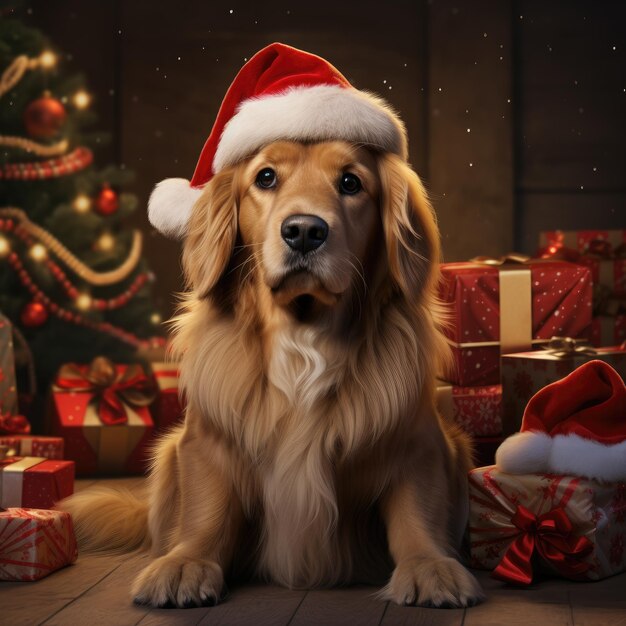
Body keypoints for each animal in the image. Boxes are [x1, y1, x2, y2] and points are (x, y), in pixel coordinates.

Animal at [61, 139, 480, 608]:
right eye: (265, 177)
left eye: (351, 182)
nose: (304, 231)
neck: (303, 340)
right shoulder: (204, 443)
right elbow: (205, 510)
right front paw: (187, 561)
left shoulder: (418, 444)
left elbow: (416, 509)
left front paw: (428, 565)